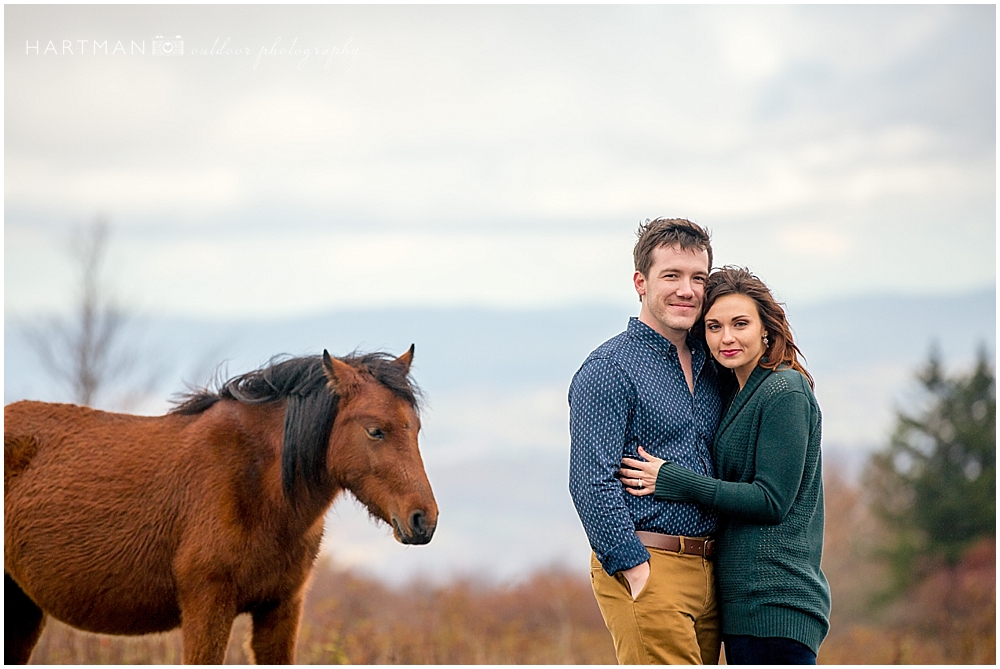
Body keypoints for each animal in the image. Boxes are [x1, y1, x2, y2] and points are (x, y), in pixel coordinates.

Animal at [3, 350, 436, 664]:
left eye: (415, 429)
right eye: (375, 430)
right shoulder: (207, 608)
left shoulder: (281, 610)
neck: (255, 485)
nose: (423, 520)